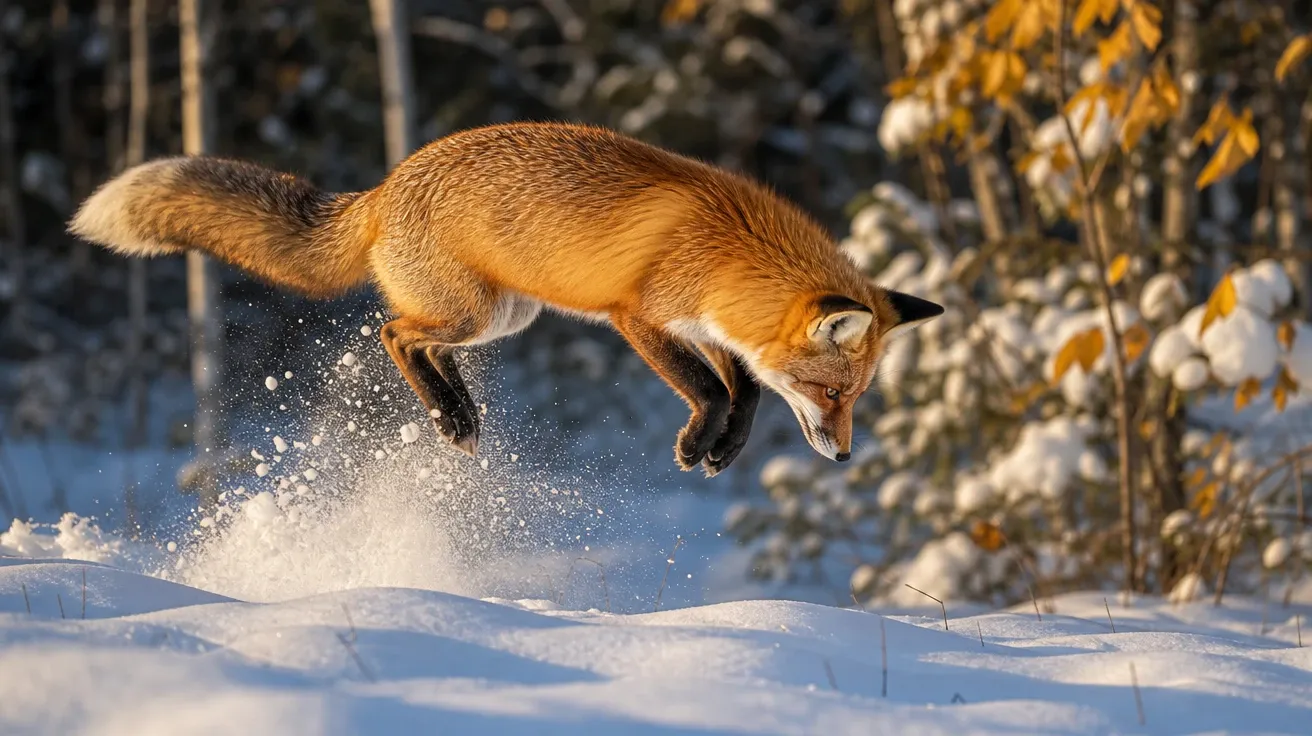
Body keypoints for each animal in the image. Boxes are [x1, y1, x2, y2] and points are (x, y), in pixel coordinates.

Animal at [68, 121, 943, 476]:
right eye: (833, 394)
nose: (845, 455)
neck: (732, 253)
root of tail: (386, 186)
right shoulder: (638, 316)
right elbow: (708, 389)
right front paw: (698, 443)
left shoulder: (709, 327)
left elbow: (746, 391)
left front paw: (724, 450)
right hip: (478, 312)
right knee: (394, 333)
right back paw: (449, 417)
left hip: (505, 318)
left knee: (420, 340)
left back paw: (458, 413)